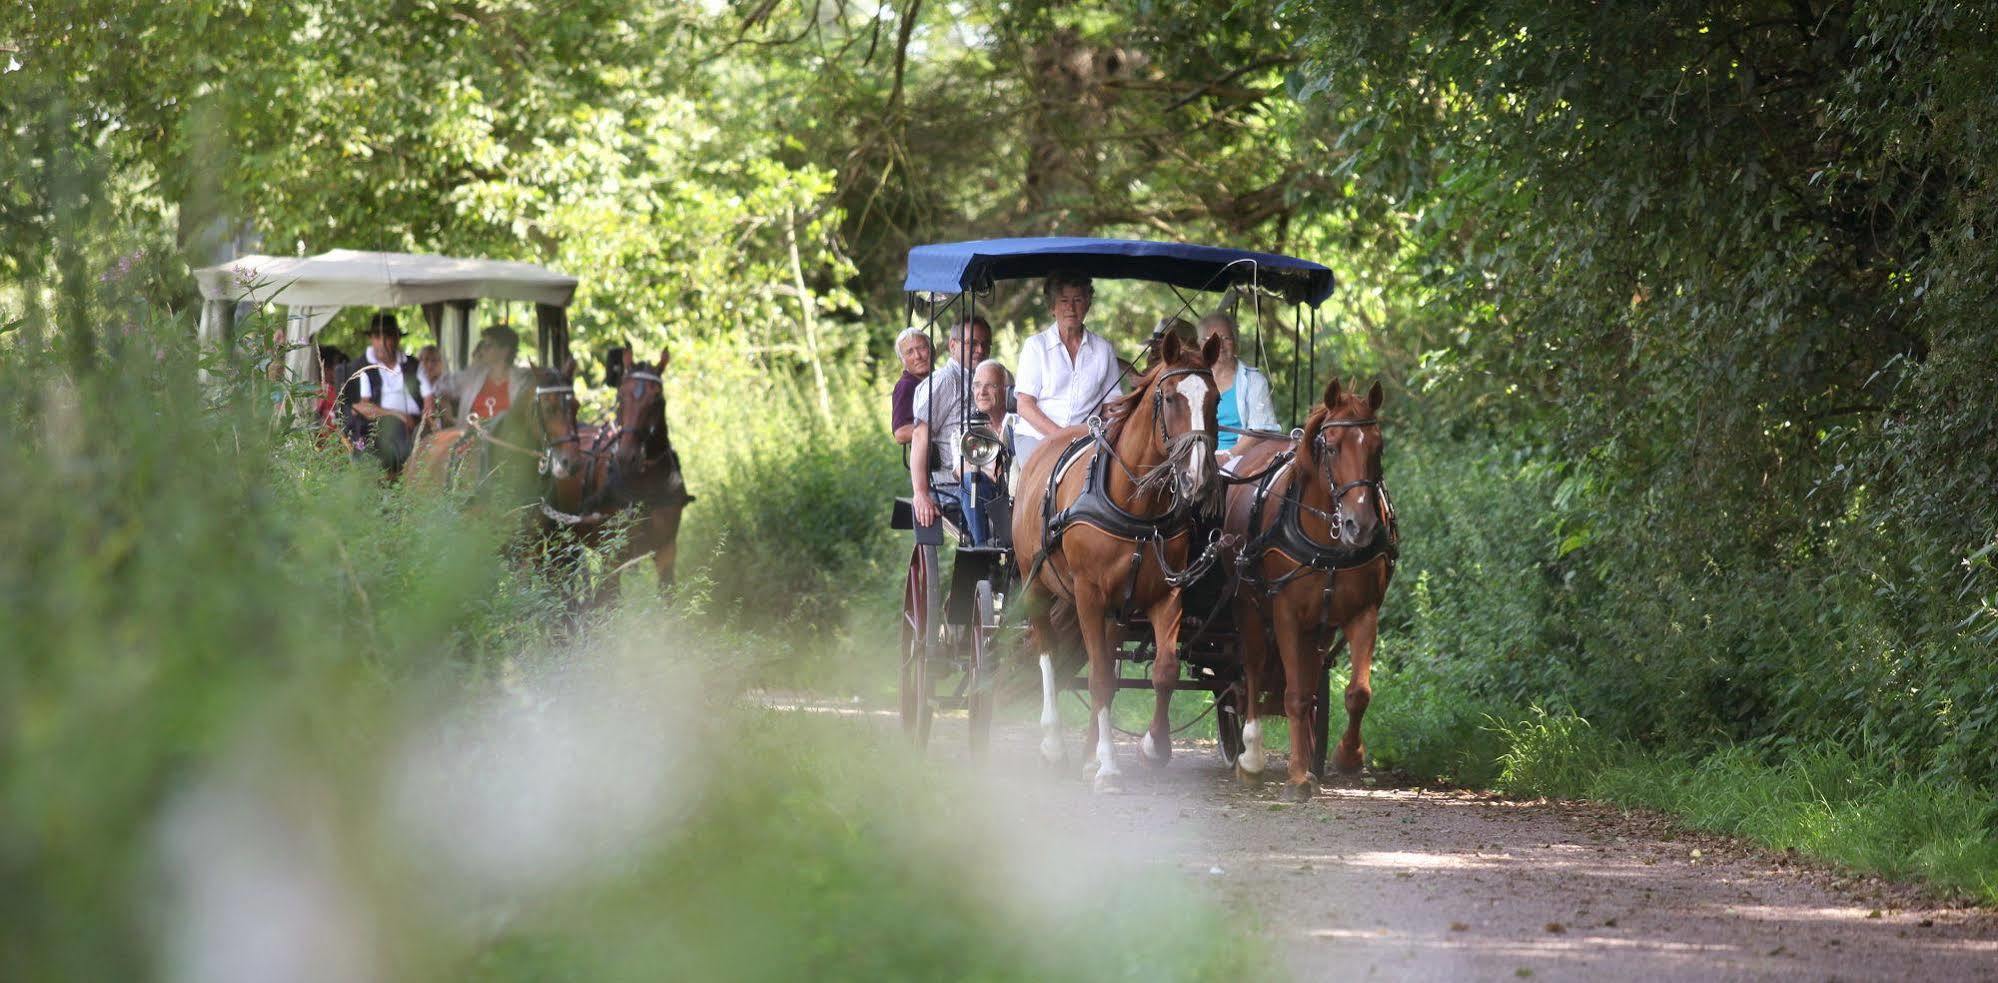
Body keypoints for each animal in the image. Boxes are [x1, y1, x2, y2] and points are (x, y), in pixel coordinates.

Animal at [1022, 327, 1222, 791]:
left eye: (1216, 400)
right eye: (1172, 399)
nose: (1199, 479)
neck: (1138, 507)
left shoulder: (1165, 595)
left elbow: (1163, 670)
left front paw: (1153, 747)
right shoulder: (1088, 595)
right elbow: (1095, 678)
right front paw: (1110, 766)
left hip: (1117, 609)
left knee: (1108, 666)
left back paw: (1087, 755)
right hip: (1037, 584)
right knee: (1046, 652)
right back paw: (1054, 744)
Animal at [1214, 375, 1390, 799]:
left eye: (1377, 446)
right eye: (1331, 446)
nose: (1361, 525)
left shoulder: (1363, 612)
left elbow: (1357, 693)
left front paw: (1348, 756)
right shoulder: (1286, 613)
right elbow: (1293, 696)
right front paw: (1295, 776)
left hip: (1319, 627)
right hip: (1247, 606)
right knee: (1251, 671)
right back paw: (1251, 757)